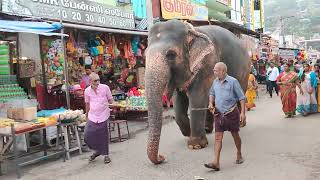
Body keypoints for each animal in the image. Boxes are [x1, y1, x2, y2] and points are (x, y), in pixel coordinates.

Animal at [144, 19, 250, 165]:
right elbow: (179, 102)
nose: (161, 157)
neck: (192, 31)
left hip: (244, 73)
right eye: (145, 54)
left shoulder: (207, 63)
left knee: (239, 96)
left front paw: (196, 145)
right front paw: (187, 133)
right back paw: (208, 129)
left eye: (171, 55)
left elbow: (197, 97)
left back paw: (239, 124)